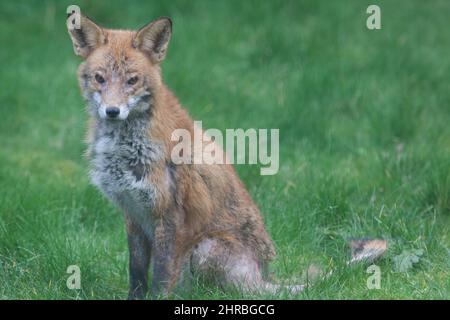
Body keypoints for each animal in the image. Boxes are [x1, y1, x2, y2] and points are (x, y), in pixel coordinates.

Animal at [67, 12, 302, 298]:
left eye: (132, 80)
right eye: (99, 78)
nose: (112, 111)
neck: (125, 149)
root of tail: (264, 274)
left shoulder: (169, 214)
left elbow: (161, 275)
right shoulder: (132, 213)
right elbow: (136, 271)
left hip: (205, 250)